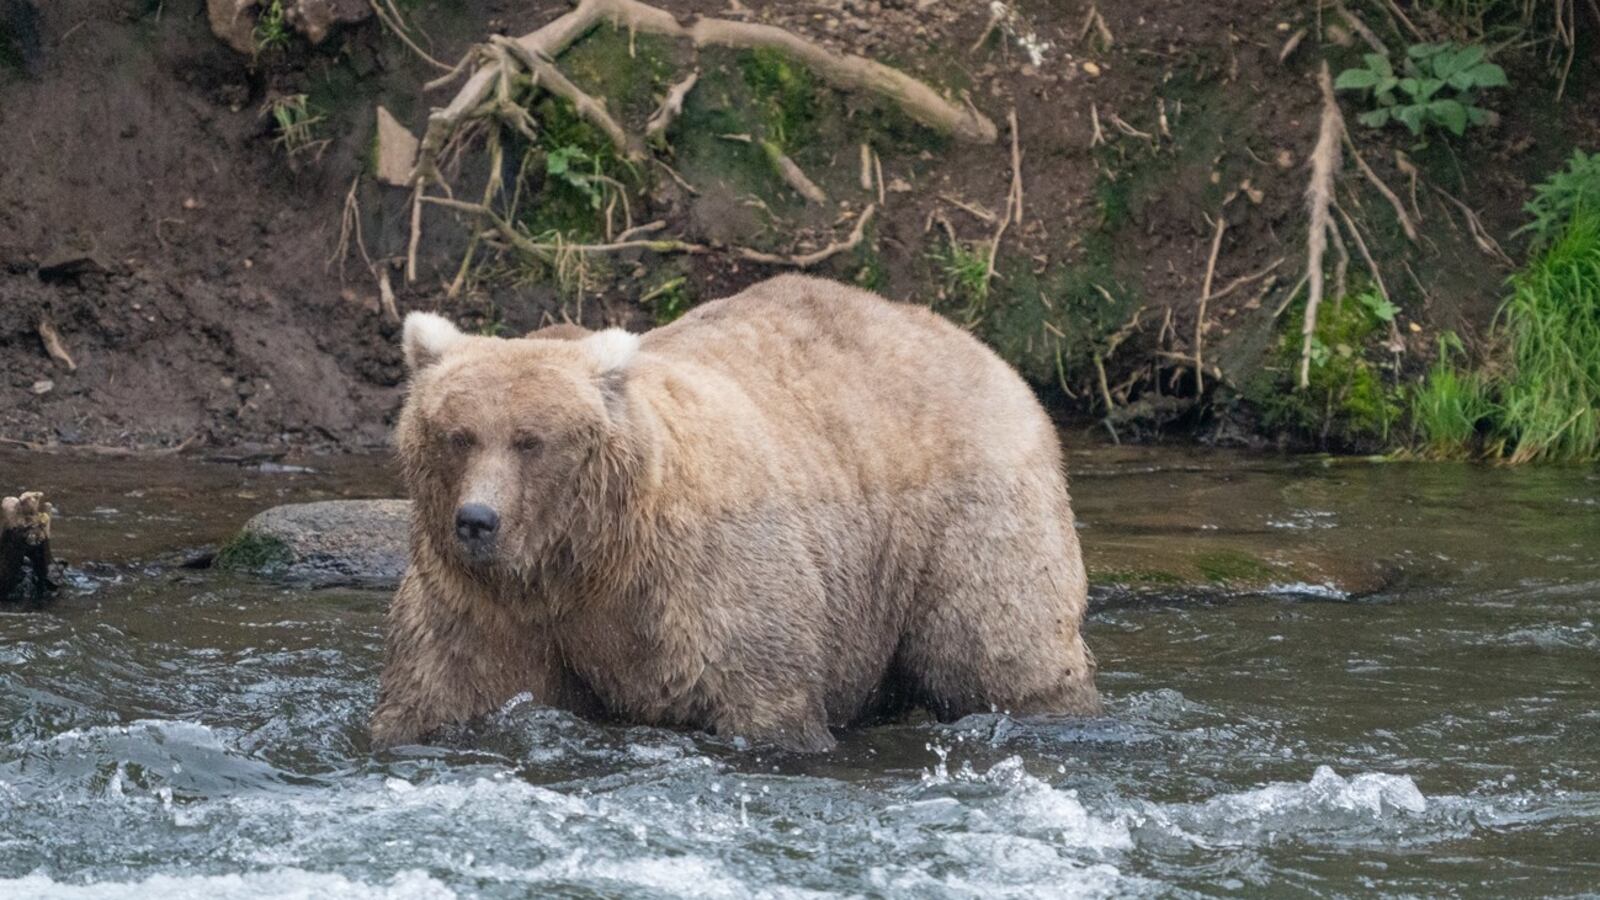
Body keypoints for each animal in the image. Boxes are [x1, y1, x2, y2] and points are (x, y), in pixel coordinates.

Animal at [370, 274, 1098, 751]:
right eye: (458, 435)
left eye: (530, 440)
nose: (477, 520)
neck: (583, 561)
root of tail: (980, 347)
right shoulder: (484, 604)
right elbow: (441, 689)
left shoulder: (701, 581)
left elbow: (760, 692)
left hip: (965, 515)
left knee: (999, 647)